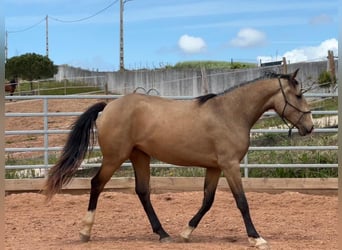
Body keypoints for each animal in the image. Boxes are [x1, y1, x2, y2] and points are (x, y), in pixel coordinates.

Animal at [44, 69, 314, 249]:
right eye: (299, 95)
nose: (309, 127)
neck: (230, 113)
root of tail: (109, 106)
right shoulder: (230, 165)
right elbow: (242, 201)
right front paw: (256, 238)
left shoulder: (215, 167)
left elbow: (207, 200)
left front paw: (186, 233)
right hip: (115, 157)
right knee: (96, 184)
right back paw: (85, 231)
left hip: (139, 156)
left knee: (142, 191)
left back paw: (163, 233)